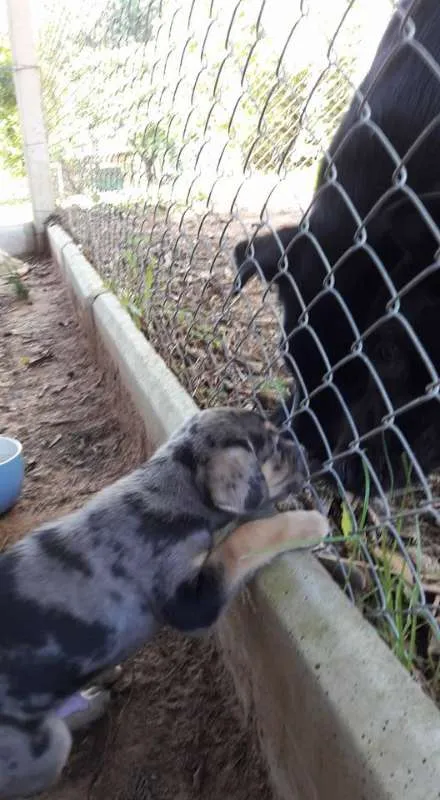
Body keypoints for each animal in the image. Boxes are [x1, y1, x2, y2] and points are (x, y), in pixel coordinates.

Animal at [0, 410, 326, 796]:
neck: (175, 486)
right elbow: (240, 541)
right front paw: (311, 524)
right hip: (43, 748)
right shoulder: (190, 604)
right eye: (274, 447)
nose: (306, 451)